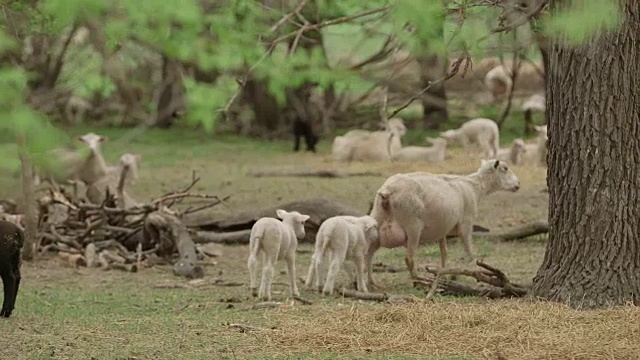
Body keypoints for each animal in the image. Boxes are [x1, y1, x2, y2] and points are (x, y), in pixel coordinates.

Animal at [364, 159, 520, 288]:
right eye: (505, 168)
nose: (518, 185)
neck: (476, 187)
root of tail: (387, 192)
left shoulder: (442, 230)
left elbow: (444, 253)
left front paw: (444, 275)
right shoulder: (466, 224)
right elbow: (470, 252)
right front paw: (478, 274)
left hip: (377, 222)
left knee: (368, 254)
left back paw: (373, 282)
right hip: (413, 226)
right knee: (409, 258)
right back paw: (419, 280)